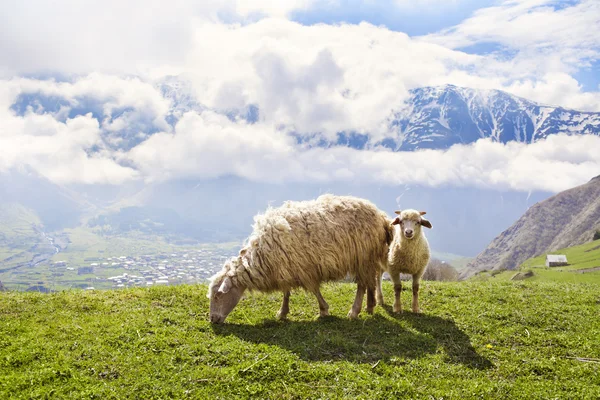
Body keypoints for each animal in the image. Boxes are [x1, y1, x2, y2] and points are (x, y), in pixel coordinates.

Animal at [207, 195, 394, 324]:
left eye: (217, 296)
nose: (213, 320)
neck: (261, 255)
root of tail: (381, 216)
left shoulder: (304, 269)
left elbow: (314, 290)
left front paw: (323, 310)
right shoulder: (286, 268)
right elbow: (286, 292)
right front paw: (282, 312)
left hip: (362, 257)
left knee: (362, 285)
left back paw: (354, 311)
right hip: (368, 259)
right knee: (370, 281)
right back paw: (370, 306)